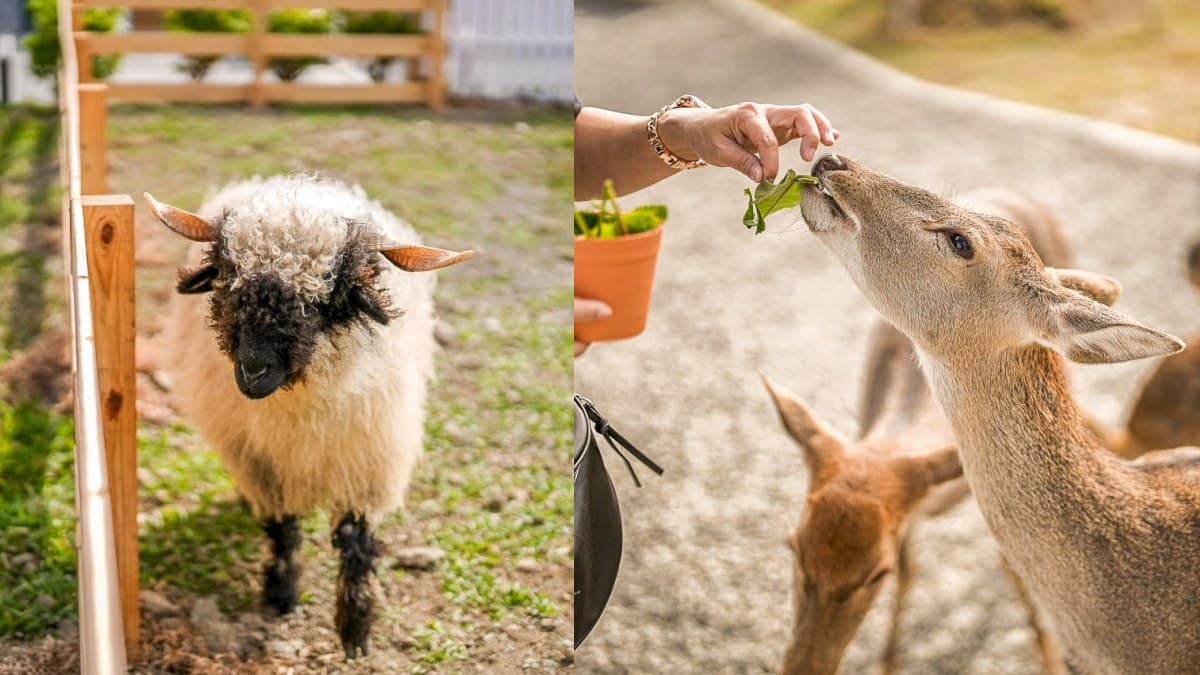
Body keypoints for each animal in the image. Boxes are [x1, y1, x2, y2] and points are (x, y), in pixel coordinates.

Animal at [764, 189, 1070, 675]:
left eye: (876, 573)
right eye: (793, 546)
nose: (804, 666)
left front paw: (1051, 656)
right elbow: (912, 571)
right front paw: (889, 661)